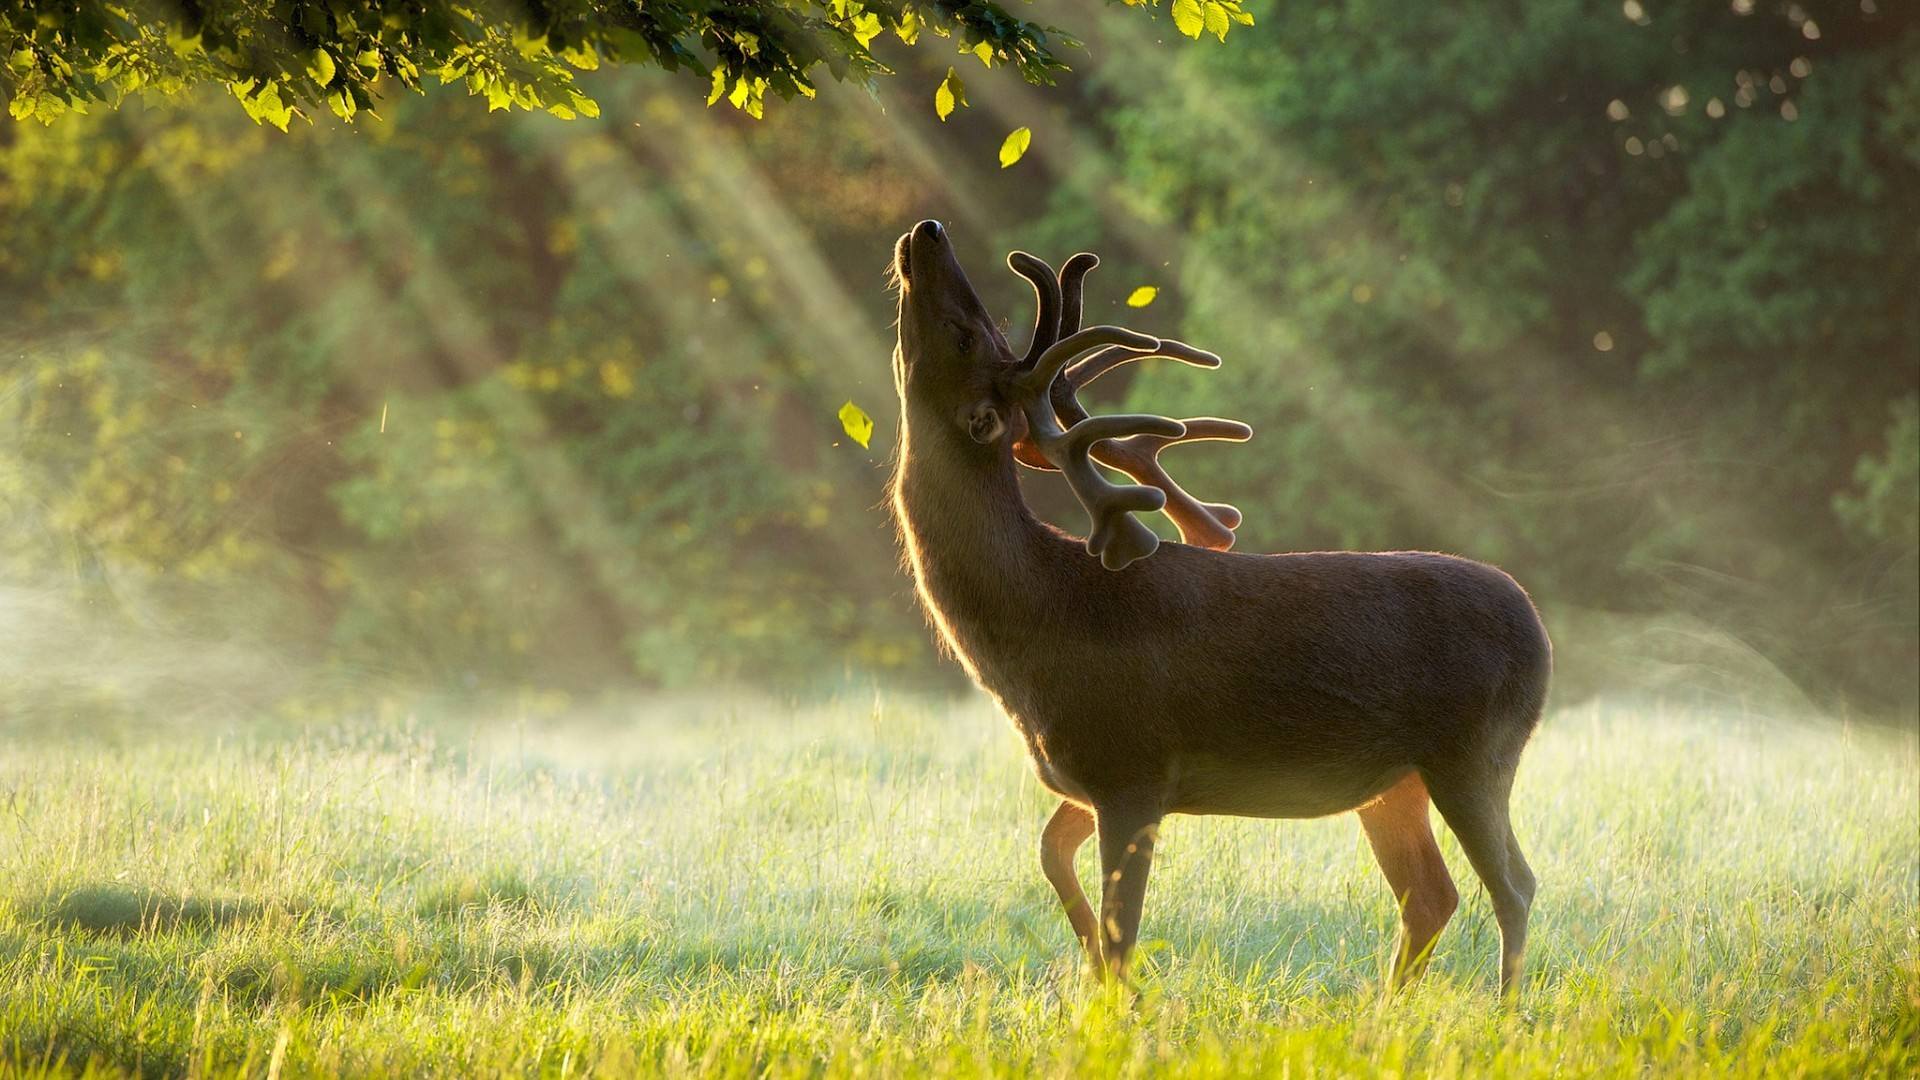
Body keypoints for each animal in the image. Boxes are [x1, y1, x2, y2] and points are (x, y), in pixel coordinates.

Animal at [890, 219, 1551, 991]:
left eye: (968, 334)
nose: (928, 230)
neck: (1038, 624)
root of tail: (1539, 630)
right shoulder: (1092, 776)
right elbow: (1051, 855)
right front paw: (1090, 970)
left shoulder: (1132, 764)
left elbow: (1122, 929)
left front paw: (1117, 997)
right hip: (1395, 782)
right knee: (1430, 893)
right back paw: (1389, 1008)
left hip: (1476, 750)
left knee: (1513, 885)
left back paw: (1504, 1010)